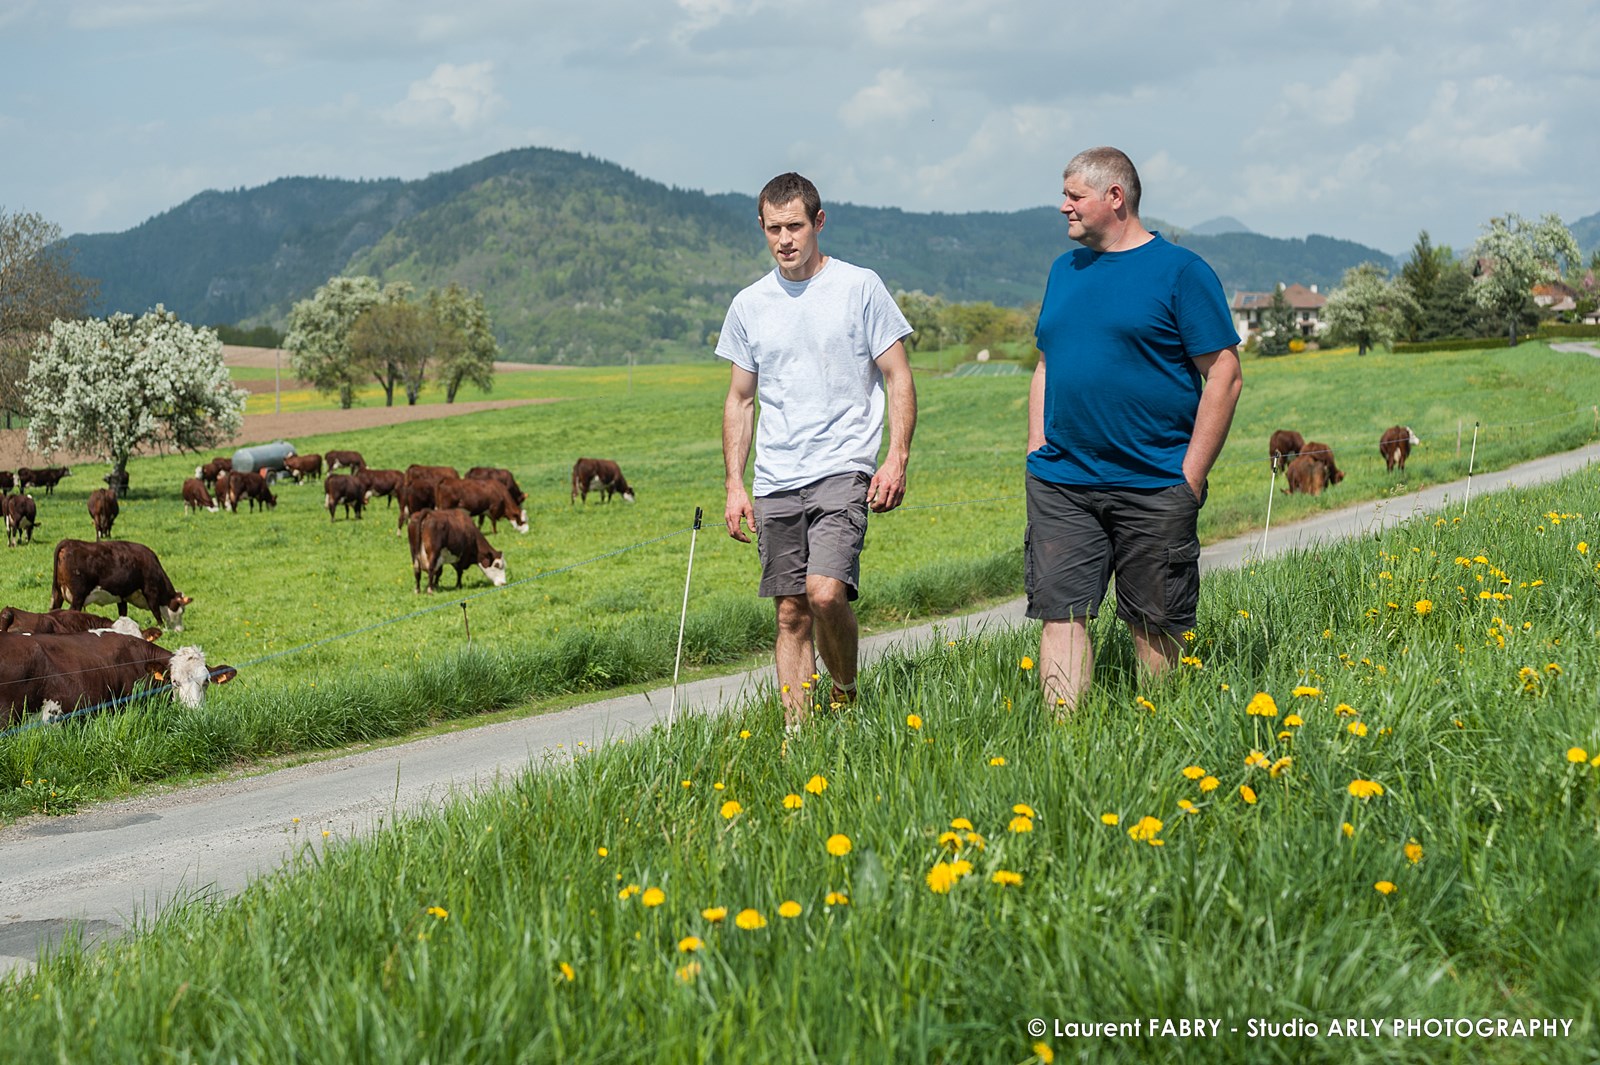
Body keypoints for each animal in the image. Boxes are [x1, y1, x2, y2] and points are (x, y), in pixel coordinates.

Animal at [50, 534, 192, 626]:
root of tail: (69, 542)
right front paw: (162, 628)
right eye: (181, 610)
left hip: (57, 594)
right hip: (78, 597)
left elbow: (123, 612)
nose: (180, 630)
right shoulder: (151, 591)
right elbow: (156, 611)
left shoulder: (122, 595)